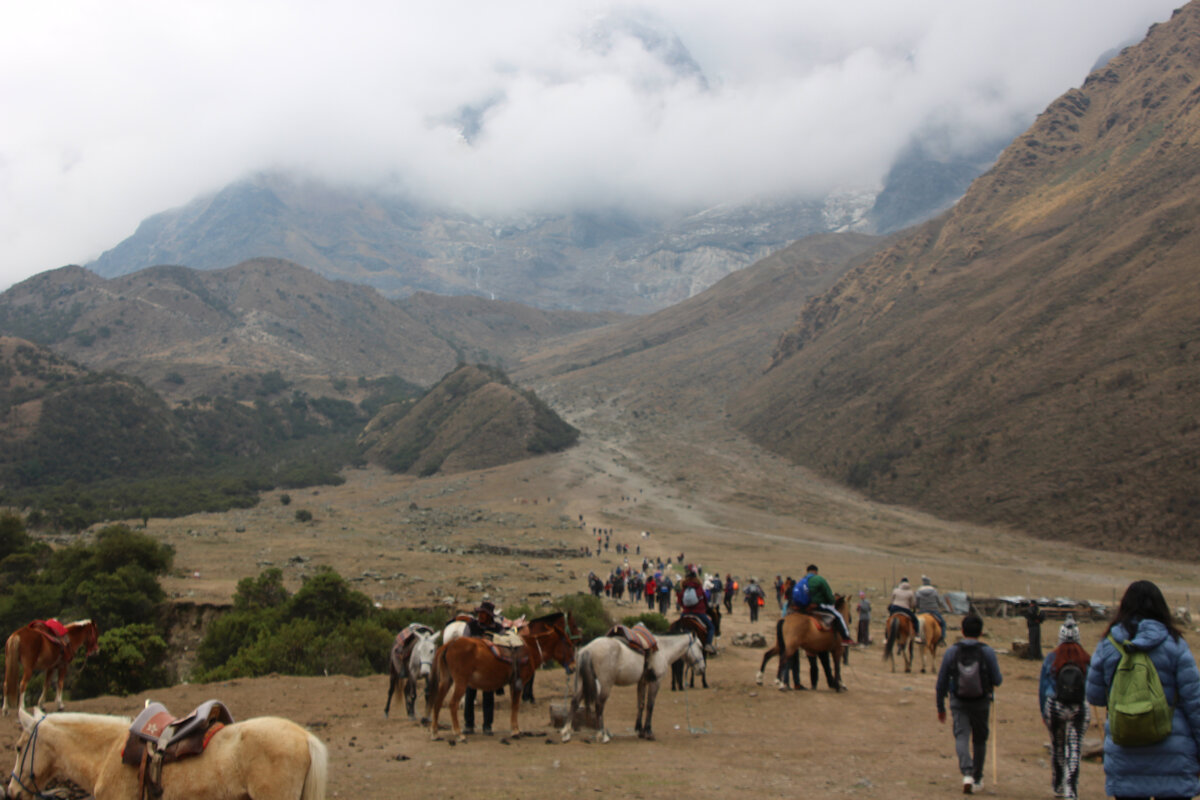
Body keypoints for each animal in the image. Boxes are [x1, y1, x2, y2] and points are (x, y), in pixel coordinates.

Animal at [429, 614, 578, 743]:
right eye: (569, 644)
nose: (573, 667)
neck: (531, 649)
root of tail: (449, 644)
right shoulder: (519, 683)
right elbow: (516, 706)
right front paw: (516, 731)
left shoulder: (513, 683)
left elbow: (513, 705)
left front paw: (515, 729)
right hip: (460, 682)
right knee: (452, 704)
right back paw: (459, 734)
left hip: (446, 680)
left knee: (437, 702)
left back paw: (435, 733)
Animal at [559, 633, 700, 743]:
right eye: (700, 646)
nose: (701, 668)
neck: (663, 650)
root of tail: (587, 649)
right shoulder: (655, 682)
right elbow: (650, 706)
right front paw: (649, 732)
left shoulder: (642, 682)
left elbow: (641, 704)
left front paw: (640, 731)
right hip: (605, 684)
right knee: (599, 705)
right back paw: (602, 735)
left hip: (582, 682)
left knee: (574, 702)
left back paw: (566, 733)